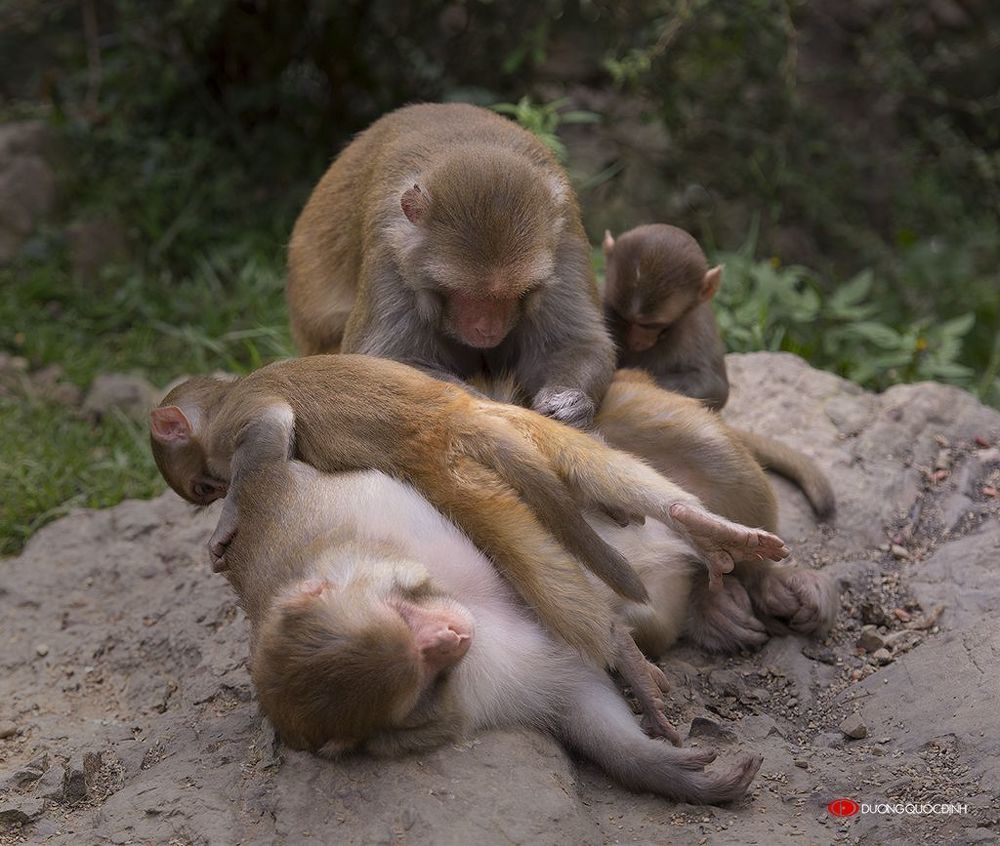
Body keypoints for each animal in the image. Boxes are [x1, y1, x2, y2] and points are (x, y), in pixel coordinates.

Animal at [149, 354, 790, 670]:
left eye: (205, 486)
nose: (214, 491)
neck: (226, 393)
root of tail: (450, 420)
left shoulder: (237, 420)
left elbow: (269, 431)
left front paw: (227, 525)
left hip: (451, 475)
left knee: (522, 553)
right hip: (518, 425)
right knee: (591, 472)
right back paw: (702, 527)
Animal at [221, 457, 763, 805]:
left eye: (404, 615)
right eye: (422, 667)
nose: (454, 635)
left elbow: (524, 557)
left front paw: (629, 663)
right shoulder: (481, 691)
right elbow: (583, 702)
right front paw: (663, 770)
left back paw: (705, 534)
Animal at [286, 102, 615, 429]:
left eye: (516, 293)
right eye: (464, 292)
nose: (488, 329)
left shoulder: (564, 236)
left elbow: (574, 342)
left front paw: (569, 403)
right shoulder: (390, 250)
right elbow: (379, 360)